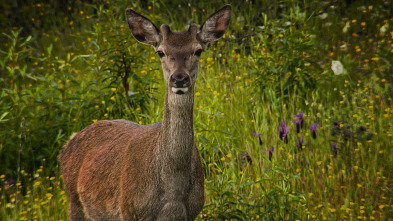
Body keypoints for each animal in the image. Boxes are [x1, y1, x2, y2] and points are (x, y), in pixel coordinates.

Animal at [58, 3, 230, 221]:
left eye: (198, 50)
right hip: (74, 201)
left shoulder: (192, 211)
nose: (179, 79)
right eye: (160, 52)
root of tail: (67, 143)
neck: (173, 191)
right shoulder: (129, 210)